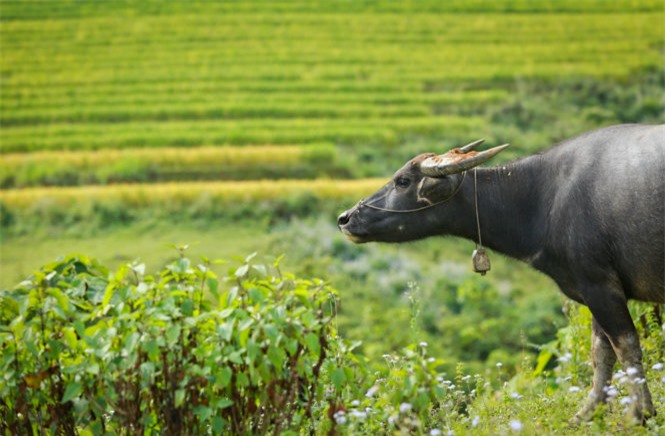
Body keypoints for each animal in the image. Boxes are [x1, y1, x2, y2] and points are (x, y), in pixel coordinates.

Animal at [340, 124, 660, 424]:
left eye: (403, 181)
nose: (345, 218)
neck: (543, 197)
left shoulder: (600, 286)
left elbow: (626, 347)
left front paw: (639, 414)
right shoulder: (595, 287)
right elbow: (601, 352)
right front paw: (588, 412)